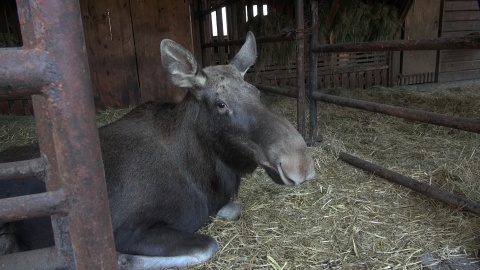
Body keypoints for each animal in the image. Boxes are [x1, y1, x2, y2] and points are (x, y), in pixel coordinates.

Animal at [0, 31, 316, 268]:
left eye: (258, 93)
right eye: (220, 104)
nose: (299, 162)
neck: (204, 174)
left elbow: (232, 210)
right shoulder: (127, 229)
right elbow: (207, 245)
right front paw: (123, 259)